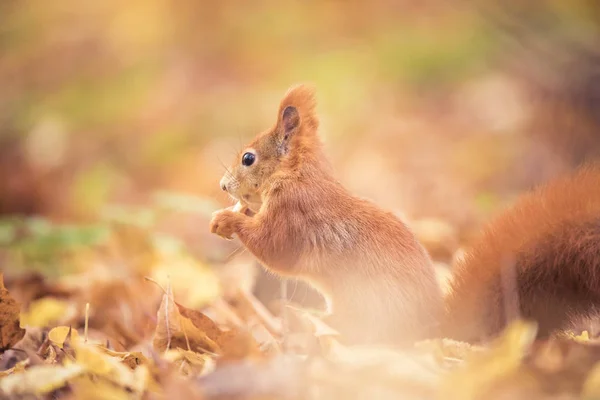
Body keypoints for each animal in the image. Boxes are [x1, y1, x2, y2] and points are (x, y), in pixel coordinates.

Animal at [209, 84, 600, 346]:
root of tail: (436, 331)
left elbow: (275, 249)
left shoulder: (294, 211)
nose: (223, 185)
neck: (299, 174)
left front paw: (227, 220)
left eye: (248, 158)